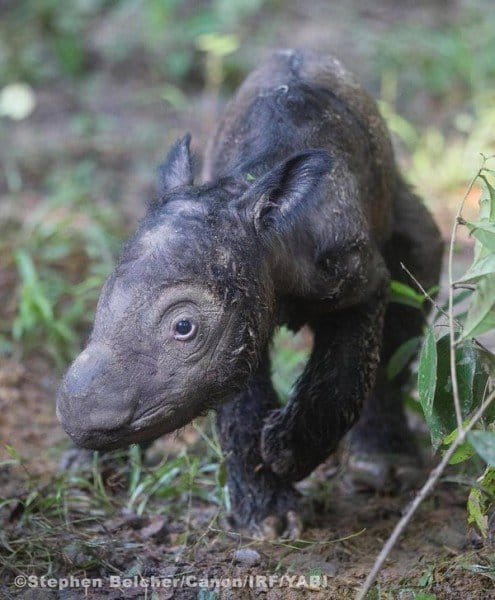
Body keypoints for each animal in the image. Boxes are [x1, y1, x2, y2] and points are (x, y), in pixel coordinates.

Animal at [57, 50, 442, 540]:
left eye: (184, 327)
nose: (80, 417)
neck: (269, 232)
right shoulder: (240, 310)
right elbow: (237, 401)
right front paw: (270, 518)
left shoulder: (356, 279)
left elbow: (346, 375)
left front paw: (284, 453)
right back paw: (83, 468)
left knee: (414, 279)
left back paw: (384, 468)